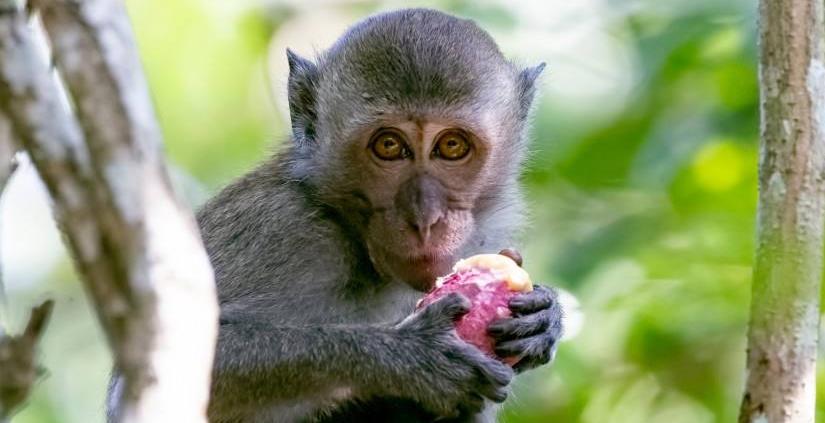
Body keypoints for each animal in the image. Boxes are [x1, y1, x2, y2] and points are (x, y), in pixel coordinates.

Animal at [106, 6, 564, 423]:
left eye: (452, 146)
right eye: (389, 146)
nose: (424, 217)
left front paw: (546, 319)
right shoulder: (282, 231)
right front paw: (411, 355)